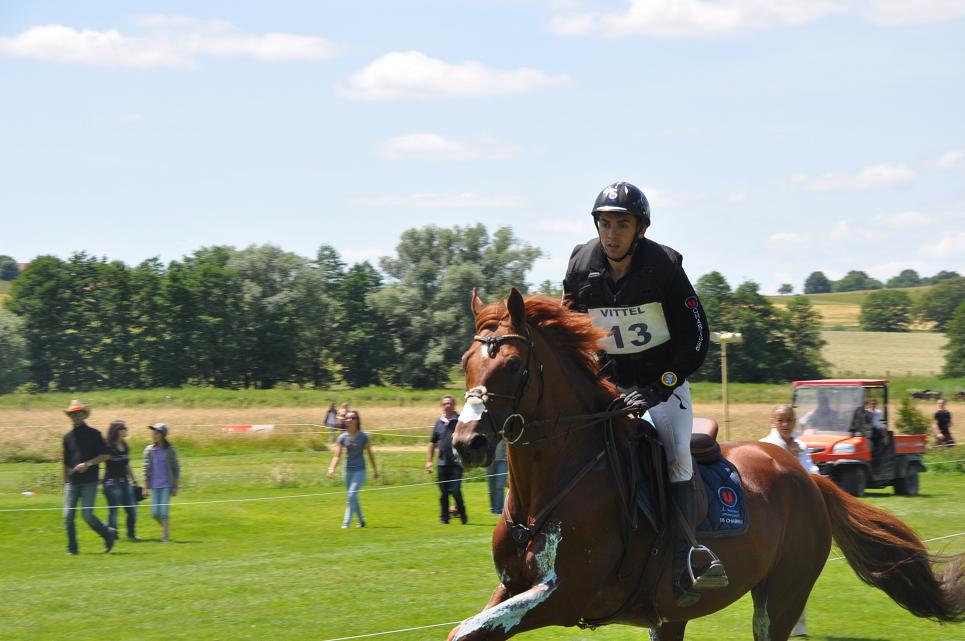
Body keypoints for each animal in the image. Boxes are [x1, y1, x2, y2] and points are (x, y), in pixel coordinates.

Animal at [450, 288, 964, 640]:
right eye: (466, 361)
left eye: (512, 364)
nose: (467, 442)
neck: (553, 483)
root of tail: (807, 476)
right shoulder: (513, 587)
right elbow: (470, 626)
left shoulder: (564, 595)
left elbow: (467, 630)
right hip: (670, 615)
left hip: (782, 595)